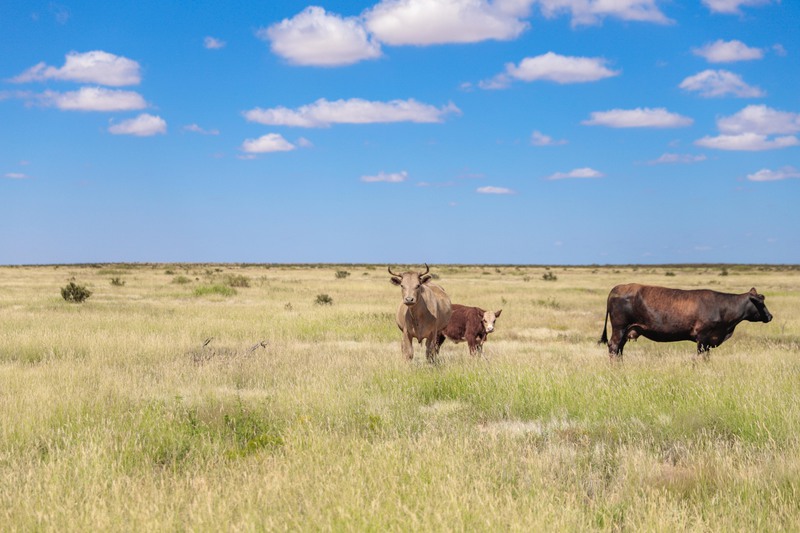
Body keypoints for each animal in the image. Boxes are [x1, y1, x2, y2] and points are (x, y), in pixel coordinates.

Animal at [604, 282, 772, 358]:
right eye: (761, 302)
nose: (770, 316)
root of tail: (616, 288)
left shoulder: (709, 341)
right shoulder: (703, 338)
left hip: (626, 331)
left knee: (619, 349)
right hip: (619, 328)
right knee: (614, 346)